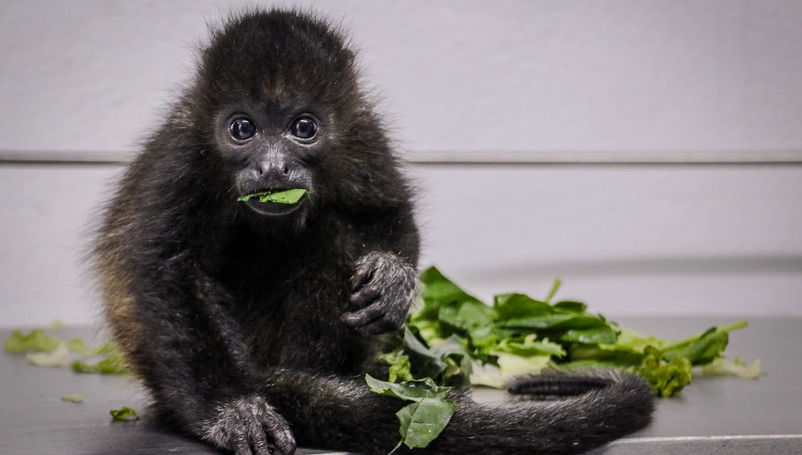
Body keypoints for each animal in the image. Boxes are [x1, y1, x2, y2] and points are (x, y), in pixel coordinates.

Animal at [93, 9, 654, 455]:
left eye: (303, 127)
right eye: (242, 128)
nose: (272, 167)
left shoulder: (364, 133)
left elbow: (385, 213)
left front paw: (392, 279)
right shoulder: (180, 157)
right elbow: (165, 270)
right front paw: (232, 409)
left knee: (335, 231)